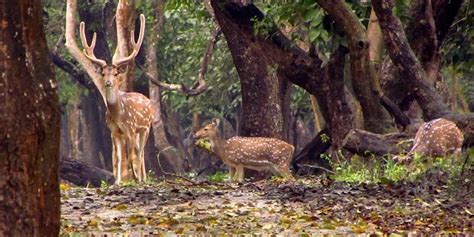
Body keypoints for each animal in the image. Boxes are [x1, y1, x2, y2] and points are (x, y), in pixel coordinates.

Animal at [78, 15, 154, 185]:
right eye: (103, 73)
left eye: (115, 74)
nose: (108, 82)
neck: (119, 114)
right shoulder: (114, 132)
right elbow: (118, 157)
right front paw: (117, 182)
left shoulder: (130, 129)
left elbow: (131, 156)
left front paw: (136, 178)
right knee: (139, 151)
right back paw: (142, 177)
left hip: (146, 127)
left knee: (140, 152)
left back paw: (143, 178)